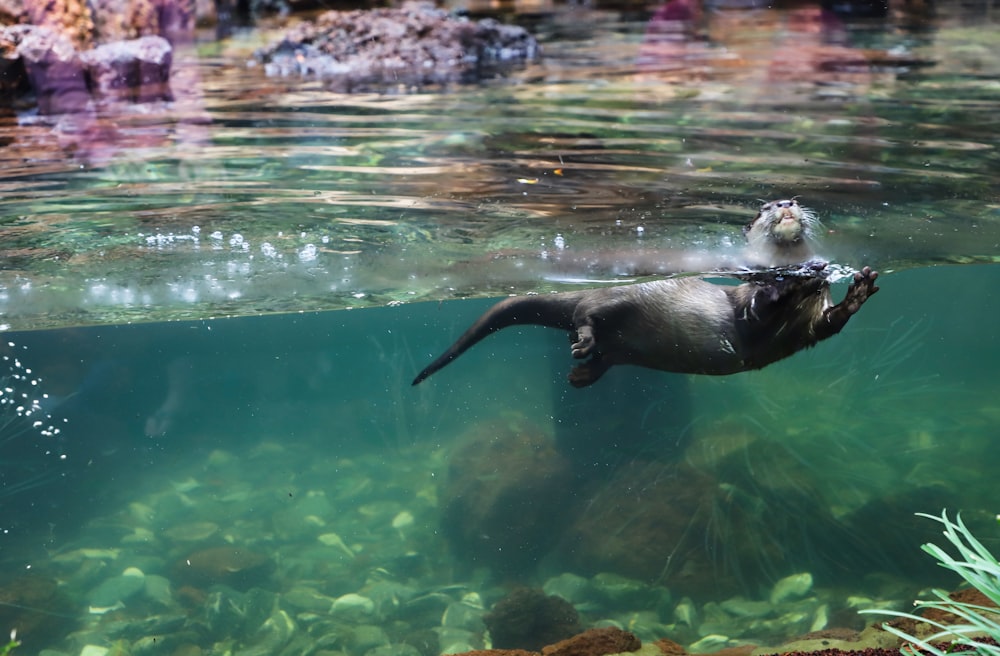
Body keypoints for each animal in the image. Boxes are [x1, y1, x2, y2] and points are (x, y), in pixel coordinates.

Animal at [410, 197, 880, 386]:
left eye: (794, 199)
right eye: (764, 207)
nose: (785, 203)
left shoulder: (812, 319)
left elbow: (826, 325)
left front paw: (859, 289)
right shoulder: (747, 295)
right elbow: (758, 308)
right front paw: (787, 282)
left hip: (625, 345)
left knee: (605, 352)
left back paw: (582, 374)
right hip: (615, 299)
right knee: (583, 313)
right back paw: (583, 344)